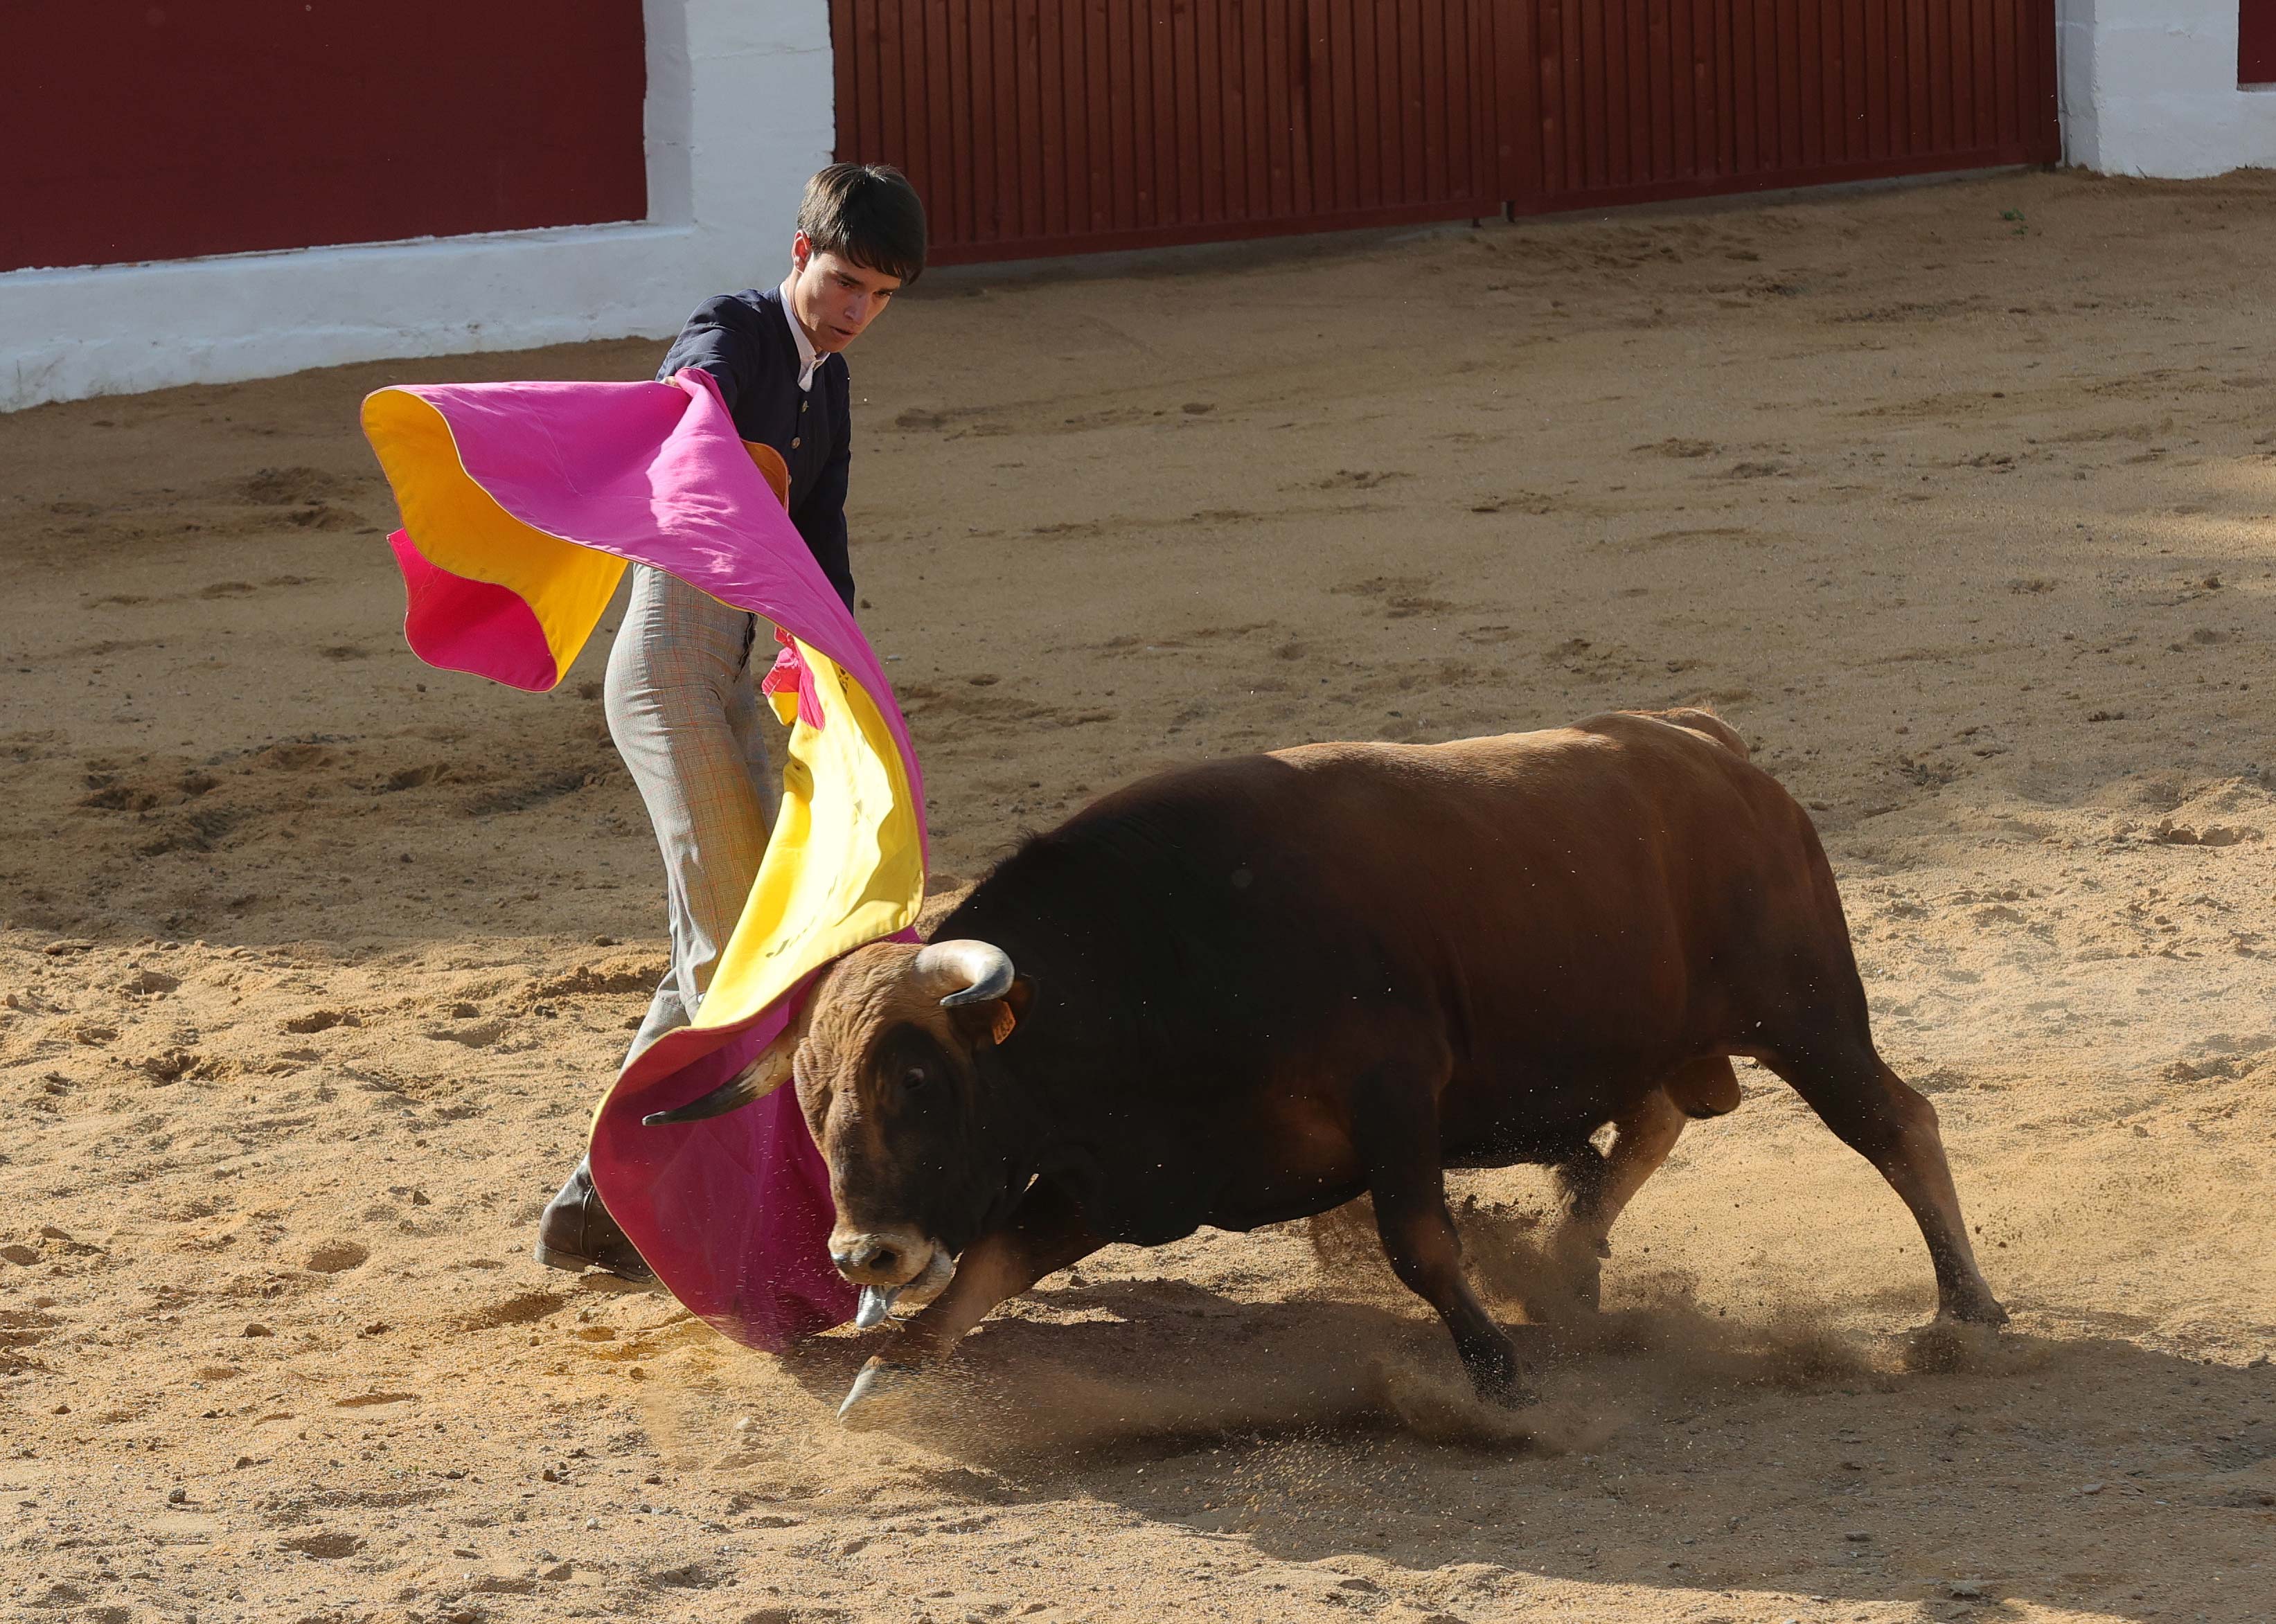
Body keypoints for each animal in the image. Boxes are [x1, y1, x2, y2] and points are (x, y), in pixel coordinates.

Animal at [650, 709, 2002, 1419]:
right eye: (811, 1106)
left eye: (924, 1087)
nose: (861, 1257)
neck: (1155, 954)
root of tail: (1709, 746)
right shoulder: (1113, 1178)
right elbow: (986, 1269)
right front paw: (892, 1370)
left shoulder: (1394, 1094)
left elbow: (1419, 1241)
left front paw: (1492, 1368)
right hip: (1661, 1037)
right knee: (1654, 1125)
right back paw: (1567, 1263)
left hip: (1809, 1014)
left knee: (1898, 1124)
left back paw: (1967, 1310)